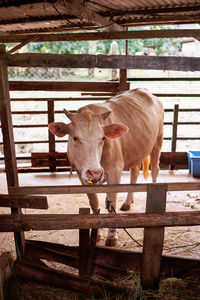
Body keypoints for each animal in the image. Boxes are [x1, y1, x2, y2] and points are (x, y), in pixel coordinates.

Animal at [48, 88, 164, 246]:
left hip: (158, 141)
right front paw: (96, 233)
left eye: (103, 138)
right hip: (136, 150)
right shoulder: (81, 174)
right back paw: (127, 202)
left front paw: (112, 236)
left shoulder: (114, 171)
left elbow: (111, 203)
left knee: (155, 171)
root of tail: (145, 91)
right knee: (134, 172)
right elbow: (94, 202)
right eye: (75, 138)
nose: (95, 172)